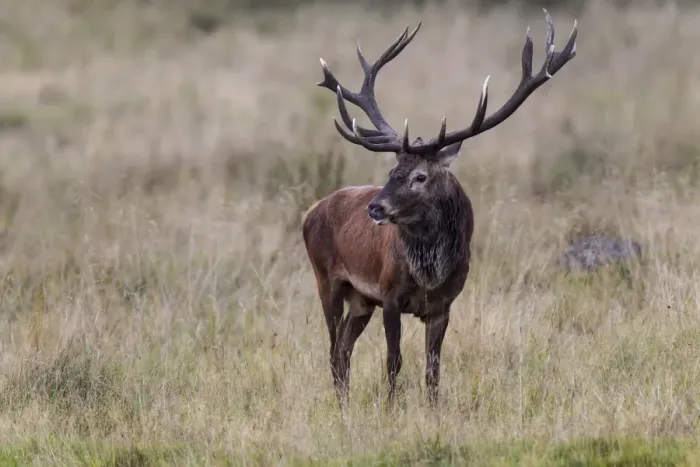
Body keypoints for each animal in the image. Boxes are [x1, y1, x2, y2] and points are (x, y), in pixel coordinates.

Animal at [302, 9, 578, 409]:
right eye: (392, 171)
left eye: (420, 176)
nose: (376, 207)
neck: (429, 274)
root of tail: (309, 213)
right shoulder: (389, 294)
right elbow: (394, 360)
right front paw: (391, 410)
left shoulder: (443, 304)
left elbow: (433, 368)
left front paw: (433, 411)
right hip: (328, 280)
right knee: (334, 351)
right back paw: (341, 407)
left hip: (361, 300)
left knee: (342, 349)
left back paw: (345, 404)